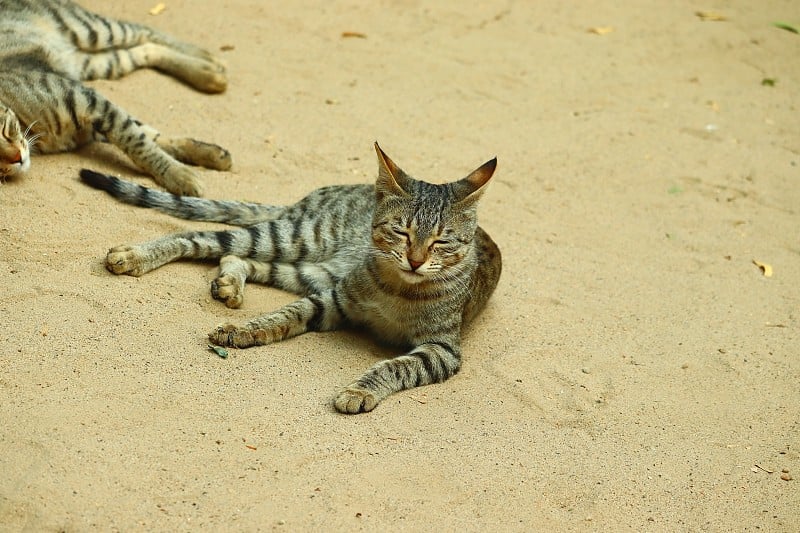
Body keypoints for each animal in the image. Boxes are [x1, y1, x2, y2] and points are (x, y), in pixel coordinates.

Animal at [0, 0, 231, 195]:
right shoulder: (92, 120)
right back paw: (209, 73)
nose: (17, 158)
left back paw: (209, 60)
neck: (33, 131)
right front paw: (208, 155)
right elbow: (150, 136)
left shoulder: (88, 101)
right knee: (145, 50)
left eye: (4, 130)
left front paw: (179, 175)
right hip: (100, 64)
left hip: (91, 28)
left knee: (147, 32)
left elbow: (138, 143)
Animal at [79, 143, 500, 414]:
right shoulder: (333, 299)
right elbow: (285, 315)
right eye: (401, 232)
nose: (414, 261)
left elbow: (396, 366)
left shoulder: (442, 349)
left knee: (235, 256)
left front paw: (358, 389)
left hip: (312, 268)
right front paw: (246, 330)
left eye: (441, 241)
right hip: (295, 239)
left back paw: (229, 283)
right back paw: (136, 256)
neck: (399, 289)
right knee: (202, 238)